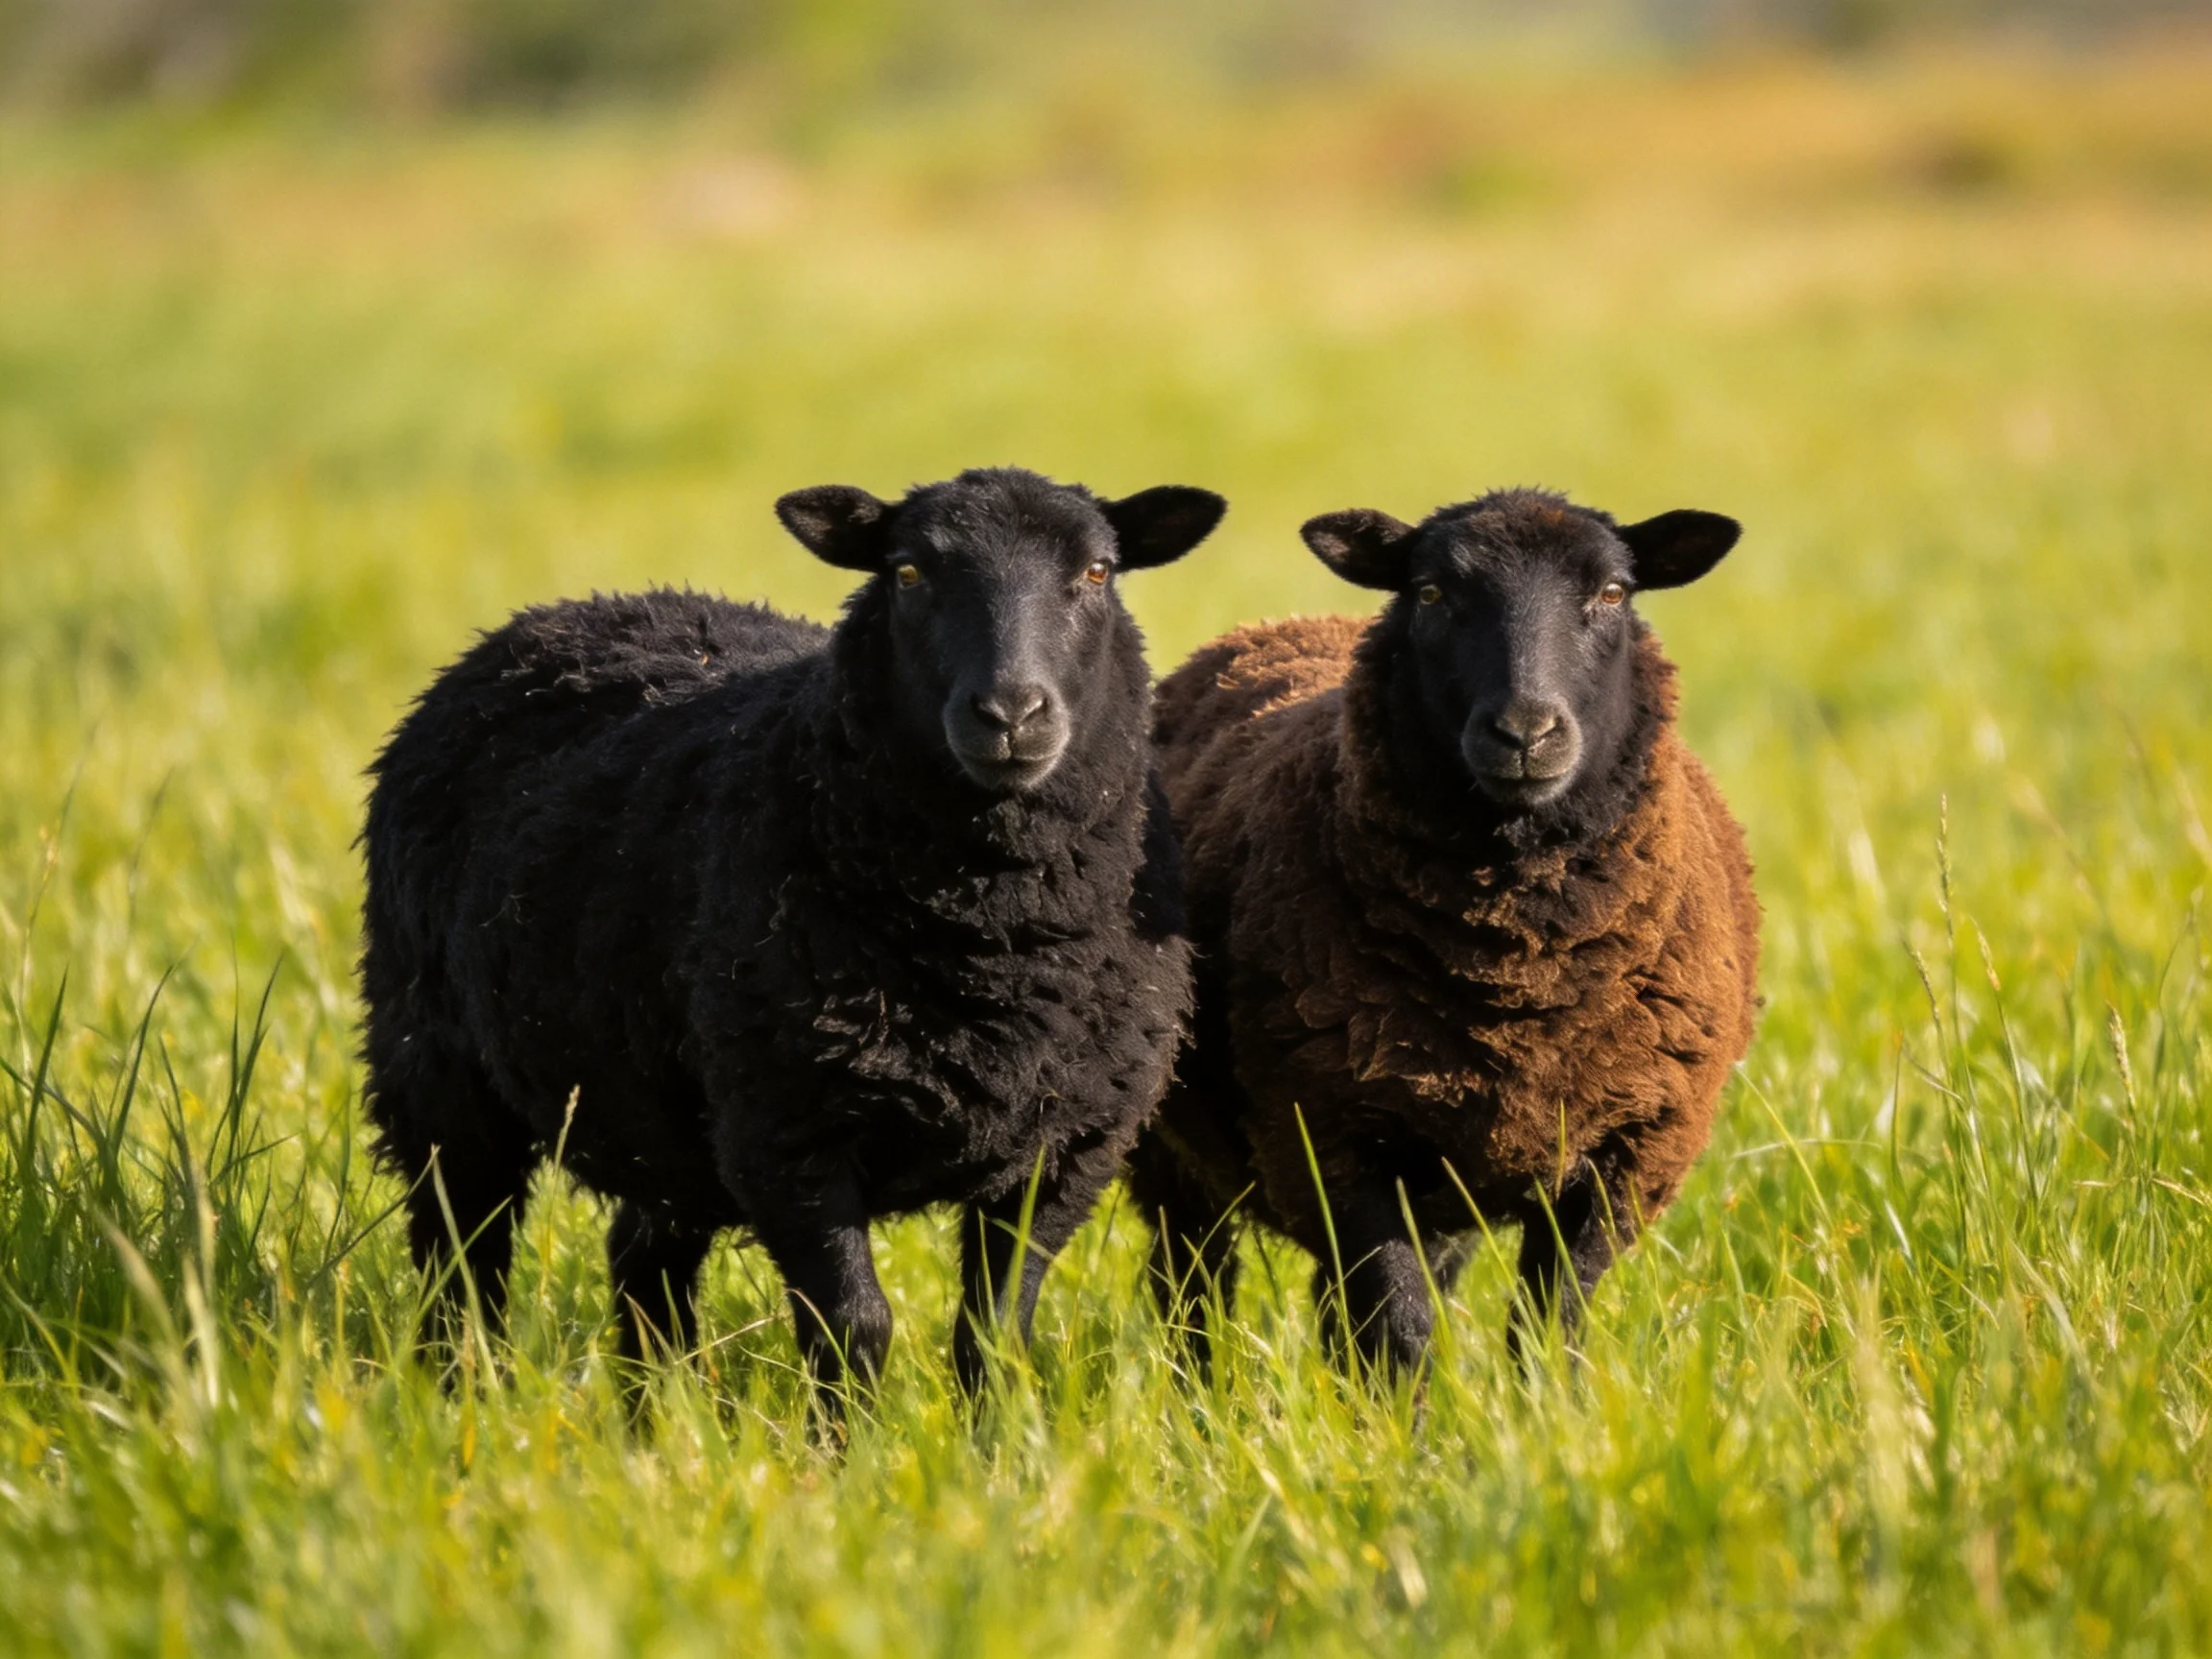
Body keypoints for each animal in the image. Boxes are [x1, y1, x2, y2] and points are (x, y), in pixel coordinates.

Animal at [359, 466, 1225, 1407]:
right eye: (908, 572)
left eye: (1098, 572)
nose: (1011, 713)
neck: (992, 955)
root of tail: (569, 611)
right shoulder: (786, 1128)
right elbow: (854, 1327)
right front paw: (847, 1448)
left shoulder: (1064, 1146)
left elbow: (993, 1334)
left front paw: (997, 1446)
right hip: (434, 1064)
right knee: (461, 1254)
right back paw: (457, 1400)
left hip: (664, 1112)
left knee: (642, 1256)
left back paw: (657, 1422)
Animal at [1126, 487, 1759, 1376]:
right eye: (1429, 593)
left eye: (1612, 593)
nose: (1526, 733)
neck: (1521, 971)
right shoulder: (1334, 1142)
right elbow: (1397, 1330)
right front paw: (1405, 1418)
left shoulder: (1621, 1156)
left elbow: (1549, 1324)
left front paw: (1544, 1410)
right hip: (1169, 1143)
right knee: (1192, 1283)